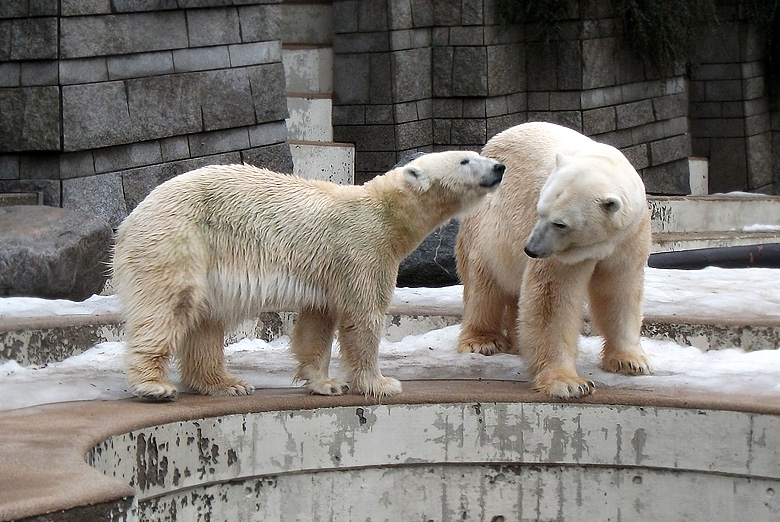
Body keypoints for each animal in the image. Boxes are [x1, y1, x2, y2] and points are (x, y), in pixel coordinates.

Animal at [114, 149, 506, 398]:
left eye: (476, 153)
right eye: (465, 160)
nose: (499, 167)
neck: (386, 213)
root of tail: (130, 220)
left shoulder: (329, 271)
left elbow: (318, 322)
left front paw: (326, 383)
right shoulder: (363, 248)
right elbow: (363, 316)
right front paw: (381, 383)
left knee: (206, 321)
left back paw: (227, 383)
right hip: (179, 241)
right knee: (170, 306)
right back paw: (154, 386)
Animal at [458, 121, 652, 398]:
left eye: (561, 223)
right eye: (539, 210)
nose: (531, 249)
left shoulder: (630, 236)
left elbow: (620, 290)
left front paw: (632, 361)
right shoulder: (560, 254)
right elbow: (552, 299)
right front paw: (569, 382)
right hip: (488, 227)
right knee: (484, 283)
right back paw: (482, 341)